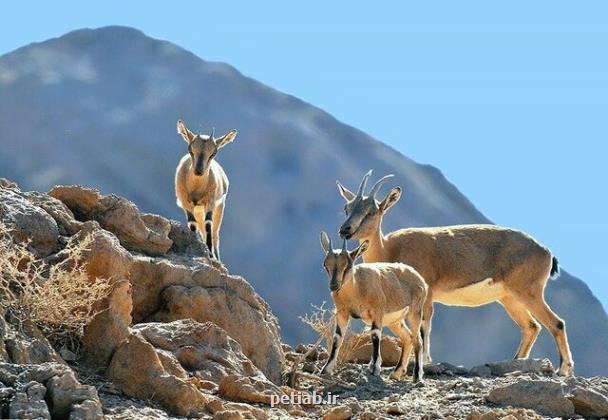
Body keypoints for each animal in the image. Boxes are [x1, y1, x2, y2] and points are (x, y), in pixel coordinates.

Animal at [176, 118, 238, 260]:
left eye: (213, 153)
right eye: (190, 149)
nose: (199, 170)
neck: (196, 190)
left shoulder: (211, 202)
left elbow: (208, 224)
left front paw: (210, 253)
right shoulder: (185, 203)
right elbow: (192, 225)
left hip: (219, 207)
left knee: (215, 233)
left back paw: (216, 256)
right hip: (199, 210)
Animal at [318, 231, 428, 382]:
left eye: (347, 265)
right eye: (325, 265)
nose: (334, 286)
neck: (357, 289)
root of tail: (421, 280)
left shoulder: (377, 312)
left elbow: (375, 336)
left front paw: (375, 369)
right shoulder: (342, 313)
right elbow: (337, 338)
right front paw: (326, 369)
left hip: (415, 312)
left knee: (417, 341)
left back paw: (417, 376)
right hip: (395, 321)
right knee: (407, 338)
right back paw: (396, 373)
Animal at [334, 171, 572, 374]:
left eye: (371, 212)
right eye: (347, 208)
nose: (345, 230)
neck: (390, 249)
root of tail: (546, 252)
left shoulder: (426, 293)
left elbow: (424, 325)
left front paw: (424, 362)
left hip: (528, 292)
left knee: (556, 323)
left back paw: (563, 370)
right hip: (509, 298)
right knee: (532, 327)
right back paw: (517, 362)